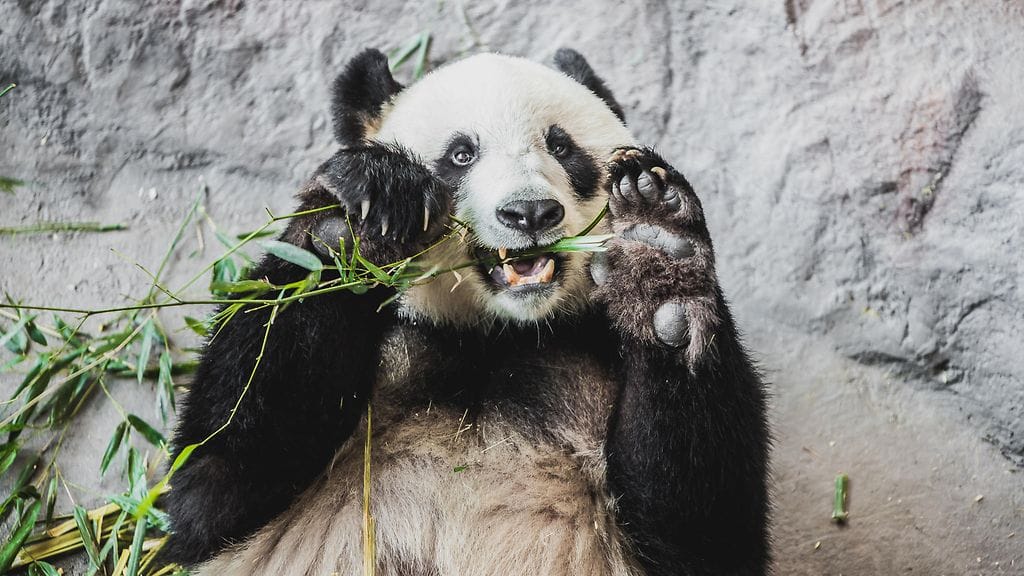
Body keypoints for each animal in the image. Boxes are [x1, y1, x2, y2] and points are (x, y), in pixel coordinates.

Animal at [160, 48, 770, 575]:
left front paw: (658, 261)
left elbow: (705, 537)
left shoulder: (591, 353)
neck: (495, 335)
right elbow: (215, 481)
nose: (530, 212)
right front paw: (363, 212)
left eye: (562, 147)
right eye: (461, 154)